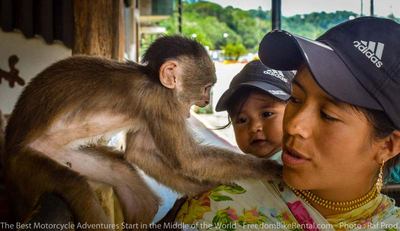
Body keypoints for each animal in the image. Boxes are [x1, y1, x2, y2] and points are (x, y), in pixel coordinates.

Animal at [3, 35, 280, 228]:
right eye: (206, 88)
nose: (205, 101)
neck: (153, 80)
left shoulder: (154, 107)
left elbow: (139, 153)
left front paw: (200, 190)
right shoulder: (160, 102)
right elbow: (187, 159)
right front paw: (266, 168)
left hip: (64, 154)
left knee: (124, 175)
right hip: (23, 163)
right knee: (74, 186)